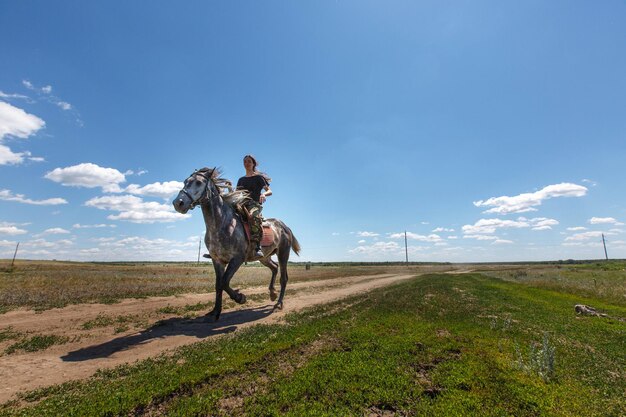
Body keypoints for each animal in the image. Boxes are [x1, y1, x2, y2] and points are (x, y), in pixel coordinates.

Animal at [169, 167, 298, 322]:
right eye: (185, 182)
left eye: (199, 182)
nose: (178, 203)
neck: (221, 223)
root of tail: (284, 226)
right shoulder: (217, 260)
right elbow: (218, 284)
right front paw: (215, 311)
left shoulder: (237, 259)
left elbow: (224, 282)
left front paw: (240, 298)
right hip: (264, 257)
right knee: (274, 267)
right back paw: (272, 294)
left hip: (283, 253)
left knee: (284, 278)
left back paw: (278, 303)